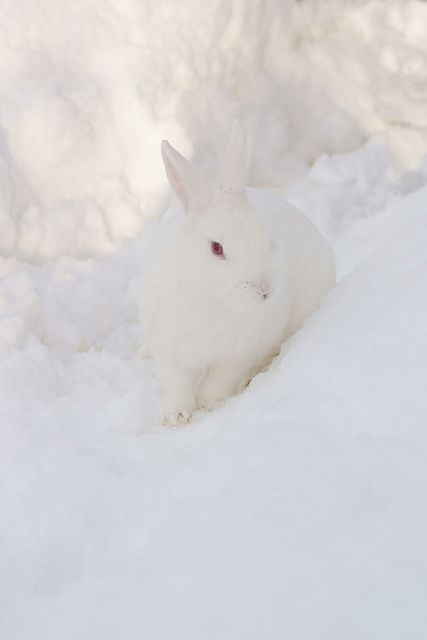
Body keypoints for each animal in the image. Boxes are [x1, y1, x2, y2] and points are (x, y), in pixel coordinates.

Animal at [145, 122, 336, 428]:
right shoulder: (172, 351)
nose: (264, 288)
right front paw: (175, 417)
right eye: (216, 247)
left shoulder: (236, 357)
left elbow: (216, 384)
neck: (215, 303)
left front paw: (210, 406)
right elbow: (177, 385)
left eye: (267, 237)